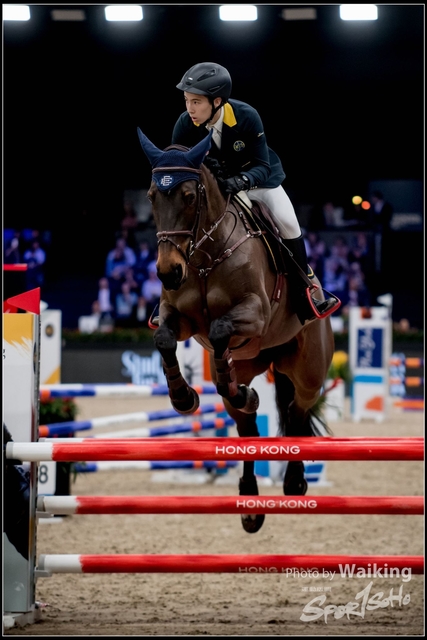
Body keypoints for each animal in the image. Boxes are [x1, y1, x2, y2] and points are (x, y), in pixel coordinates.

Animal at [137, 128, 336, 533]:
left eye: (189, 196)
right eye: (151, 196)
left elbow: (219, 329)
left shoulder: (255, 313)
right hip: (253, 366)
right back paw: (250, 501)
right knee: (247, 428)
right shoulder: (178, 318)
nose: (168, 272)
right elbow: (165, 338)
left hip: (308, 371)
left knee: (297, 412)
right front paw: (184, 397)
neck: (202, 256)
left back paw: (294, 481)